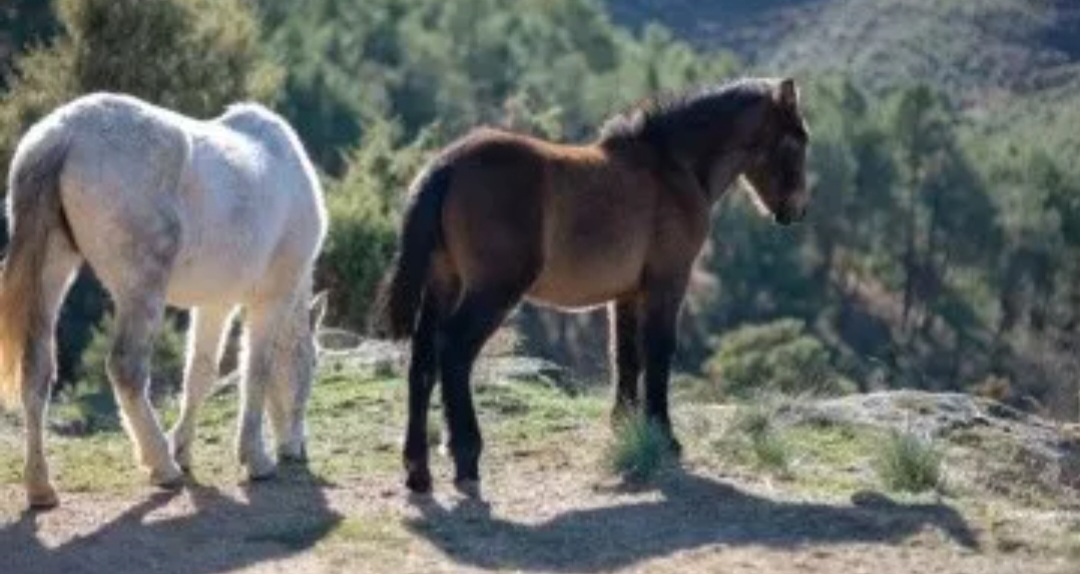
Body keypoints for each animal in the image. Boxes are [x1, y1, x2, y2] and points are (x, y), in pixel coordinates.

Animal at [0, 92, 328, 508]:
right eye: (313, 362)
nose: (297, 448)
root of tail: (63, 134)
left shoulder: (216, 303)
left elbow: (200, 373)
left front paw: (183, 449)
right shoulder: (271, 299)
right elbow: (257, 371)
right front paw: (255, 459)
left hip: (52, 269)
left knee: (37, 369)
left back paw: (41, 487)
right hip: (141, 289)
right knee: (126, 368)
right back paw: (162, 466)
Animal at [375, 77, 807, 495]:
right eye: (797, 141)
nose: (797, 211)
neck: (672, 167)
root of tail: (446, 165)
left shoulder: (628, 294)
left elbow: (626, 356)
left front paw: (626, 426)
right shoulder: (667, 282)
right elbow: (659, 353)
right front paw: (665, 437)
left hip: (443, 284)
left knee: (422, 361)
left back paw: (418, 470)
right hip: (492, 291)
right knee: (454, 352)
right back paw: (466, 457)